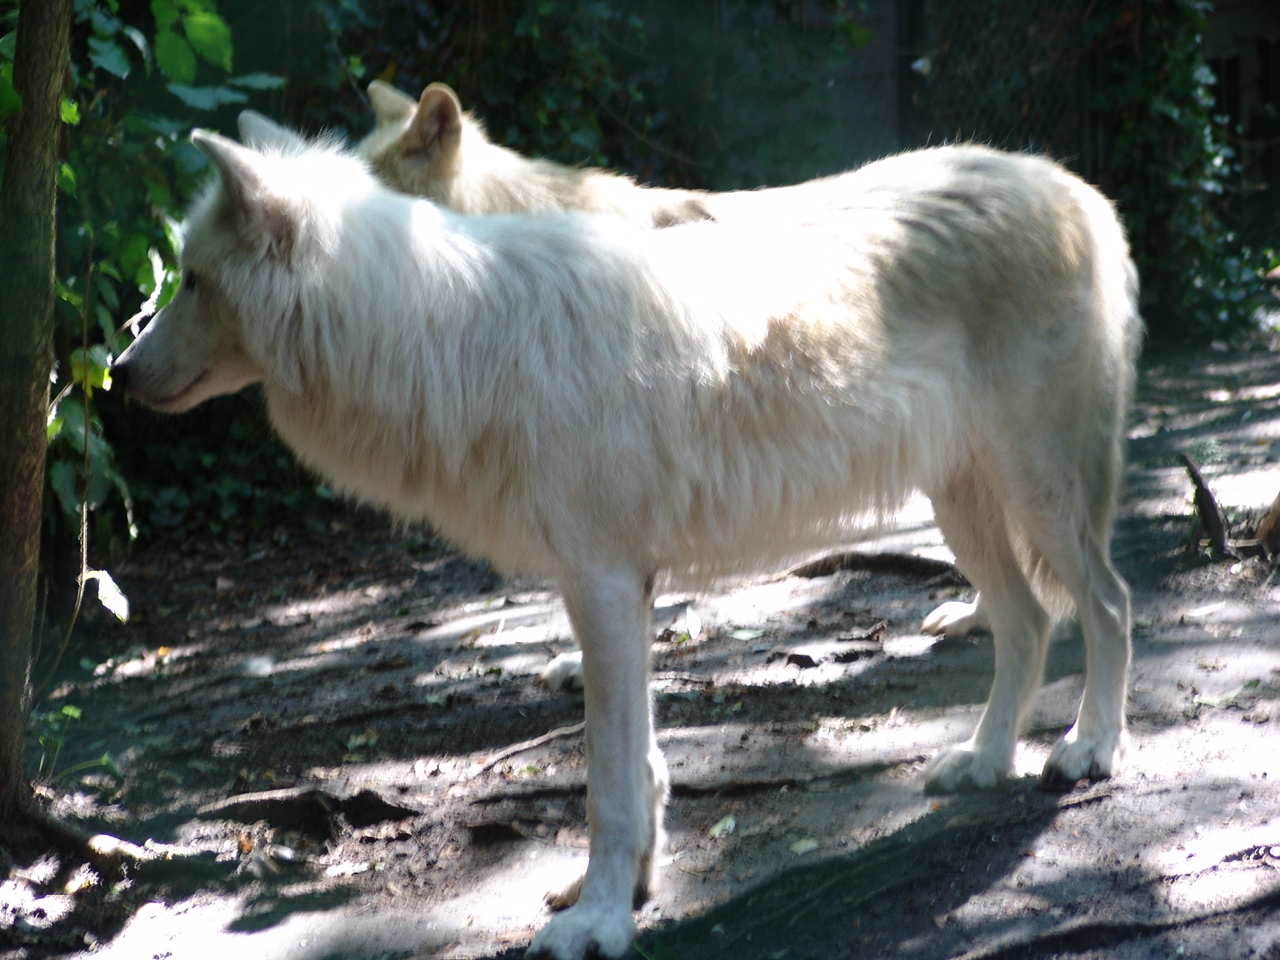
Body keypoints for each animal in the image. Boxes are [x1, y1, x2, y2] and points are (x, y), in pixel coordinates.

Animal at [112, 130, 1139, 960]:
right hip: (965, 506)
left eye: (192, 279)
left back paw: (1089, 748)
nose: (117, 370)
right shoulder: (617, 589)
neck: (446, 337)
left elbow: (606, 775)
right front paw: (625, 890)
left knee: (1108, 604)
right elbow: (639, 761)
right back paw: (984, 762)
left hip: (1038, 493)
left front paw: (597, 923)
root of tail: (1070, 184)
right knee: (1026, 622)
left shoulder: (604, 584)